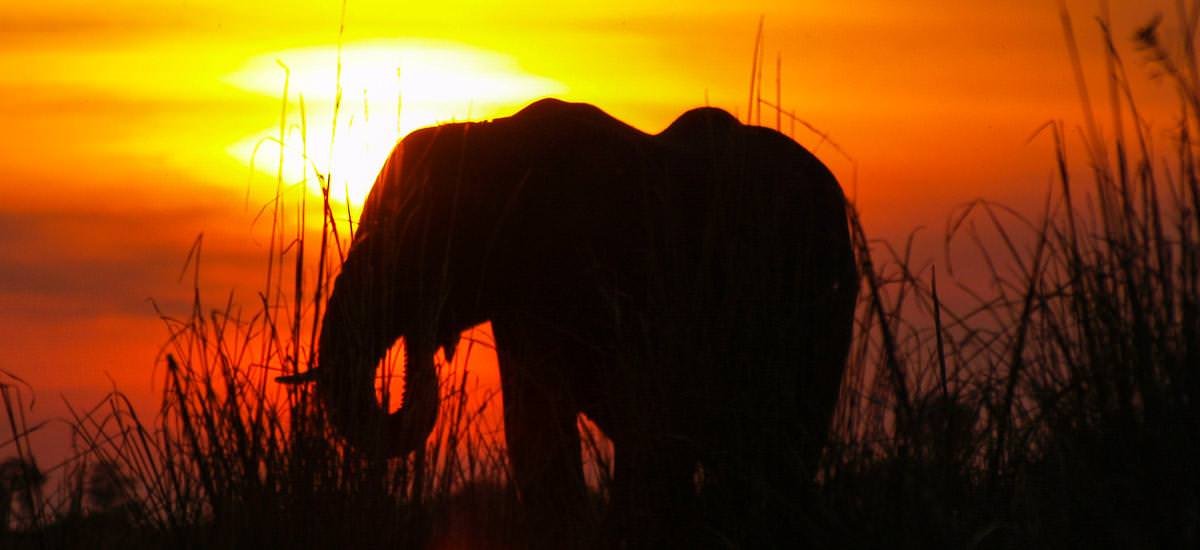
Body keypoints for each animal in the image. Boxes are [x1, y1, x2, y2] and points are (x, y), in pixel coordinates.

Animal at [285, 99, 859, 545]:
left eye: (414, 240)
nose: (423, 341)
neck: (496, 138)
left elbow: (646, 426)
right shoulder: (521, 305)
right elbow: (536, 426)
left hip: (817, 309)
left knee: (776, 444)